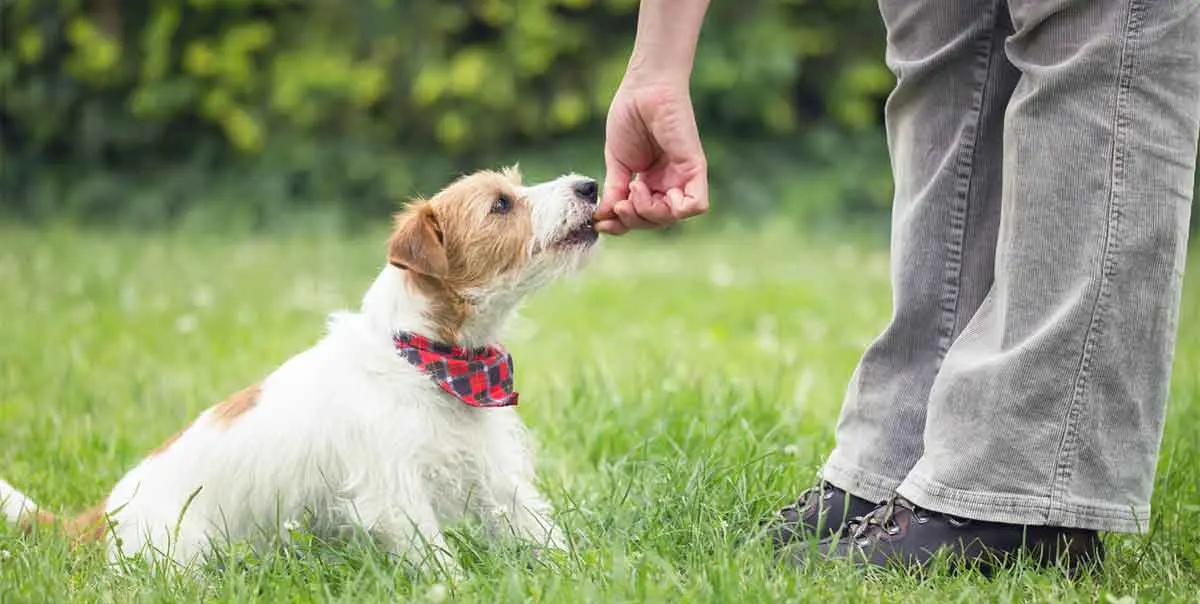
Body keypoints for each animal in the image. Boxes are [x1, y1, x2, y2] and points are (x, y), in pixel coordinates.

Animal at [0, 166, 600, 576]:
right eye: (501, 204)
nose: (591, 185)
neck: (431, 358)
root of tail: (105, 511)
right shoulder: (394, 494)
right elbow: (436, 558)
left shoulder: (496, 475)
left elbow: (540, 529)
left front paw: (583, 571)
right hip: (183, 553)